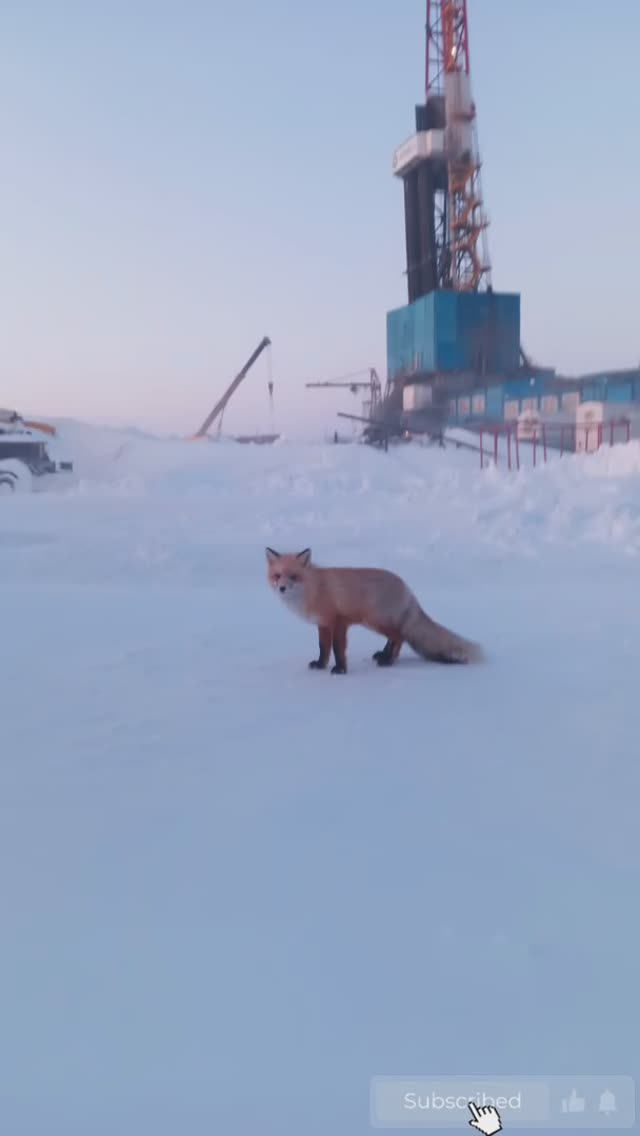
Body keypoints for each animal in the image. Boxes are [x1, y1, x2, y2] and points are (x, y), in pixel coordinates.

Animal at [265, 547, 483, 674]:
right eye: (277, 576)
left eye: (294, 576)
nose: (282, 588)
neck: (315, 588)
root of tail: (408, 589)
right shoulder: (323, 624)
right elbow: (323, 648)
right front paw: (320, 665)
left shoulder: (339, 621)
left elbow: (337, 649)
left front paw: (340, 669)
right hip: (376, 622)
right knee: (396, 638)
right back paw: (384, 656)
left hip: (375, 621)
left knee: (399, 636)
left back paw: (388, 661)